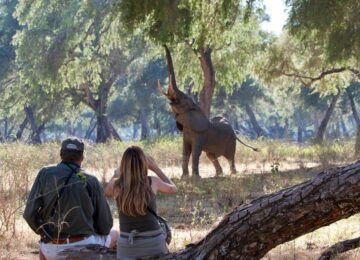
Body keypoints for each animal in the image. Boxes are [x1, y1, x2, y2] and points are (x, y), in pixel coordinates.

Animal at [159, 45, 258, 179]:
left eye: (183, 101)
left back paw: (233, 174)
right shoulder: (186, 132)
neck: (195, 109)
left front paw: (196, 178)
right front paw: (184, 177)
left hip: (231, 141)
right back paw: (218, 175)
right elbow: (185, 152)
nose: (164, 44)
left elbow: (195, 152)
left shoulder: (200, 134)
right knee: (211, 156)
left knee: (230, 157)